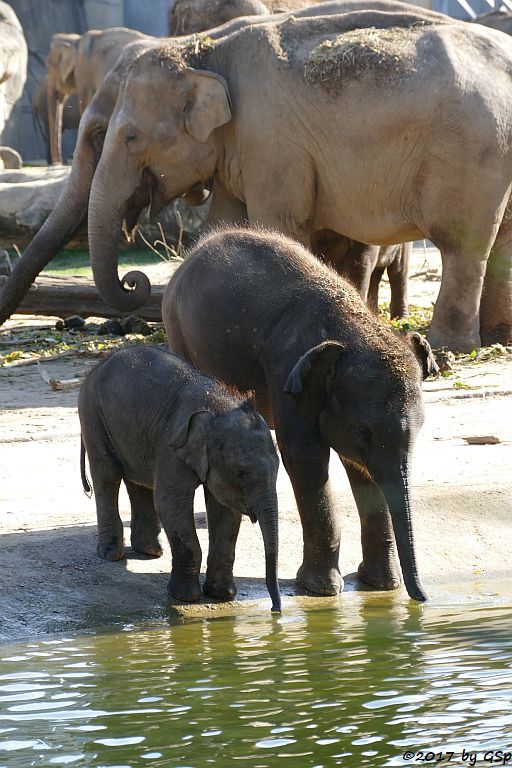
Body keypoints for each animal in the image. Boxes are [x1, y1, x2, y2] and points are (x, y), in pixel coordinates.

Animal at [78, 346, 282, 612]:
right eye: (241, 473)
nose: (275, 610)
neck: (218, 406)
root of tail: (95, 368)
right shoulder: (172, 446)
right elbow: (171, 504)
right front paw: (185, 598)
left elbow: (225, 511)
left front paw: (222, 595)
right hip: (93, 414)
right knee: (107, 475)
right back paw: (111, 554)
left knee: (138, 480)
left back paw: (151, 551)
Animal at [164, 225, 428, 604]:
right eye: (364, 431)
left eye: (421, 429)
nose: (422, 599)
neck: (355, 325)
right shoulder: (286, 370)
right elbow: (304, 457)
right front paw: (320, 590)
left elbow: (360, 467)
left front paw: (380, 585)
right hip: (179, 332)